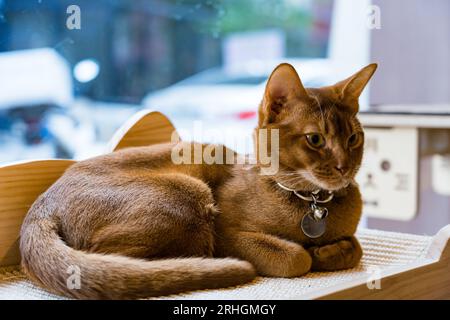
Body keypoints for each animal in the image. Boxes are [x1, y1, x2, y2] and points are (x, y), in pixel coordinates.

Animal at [19, 63, 376, 300]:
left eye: (354, 138)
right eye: (315, 139)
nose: (345, 167)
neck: (311, 202)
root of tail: (39, 207)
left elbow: (356, 247)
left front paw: (331, 251)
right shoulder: (226, 233)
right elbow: (296, 258)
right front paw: (315, 254)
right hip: (189, 193)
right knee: (113, 260)